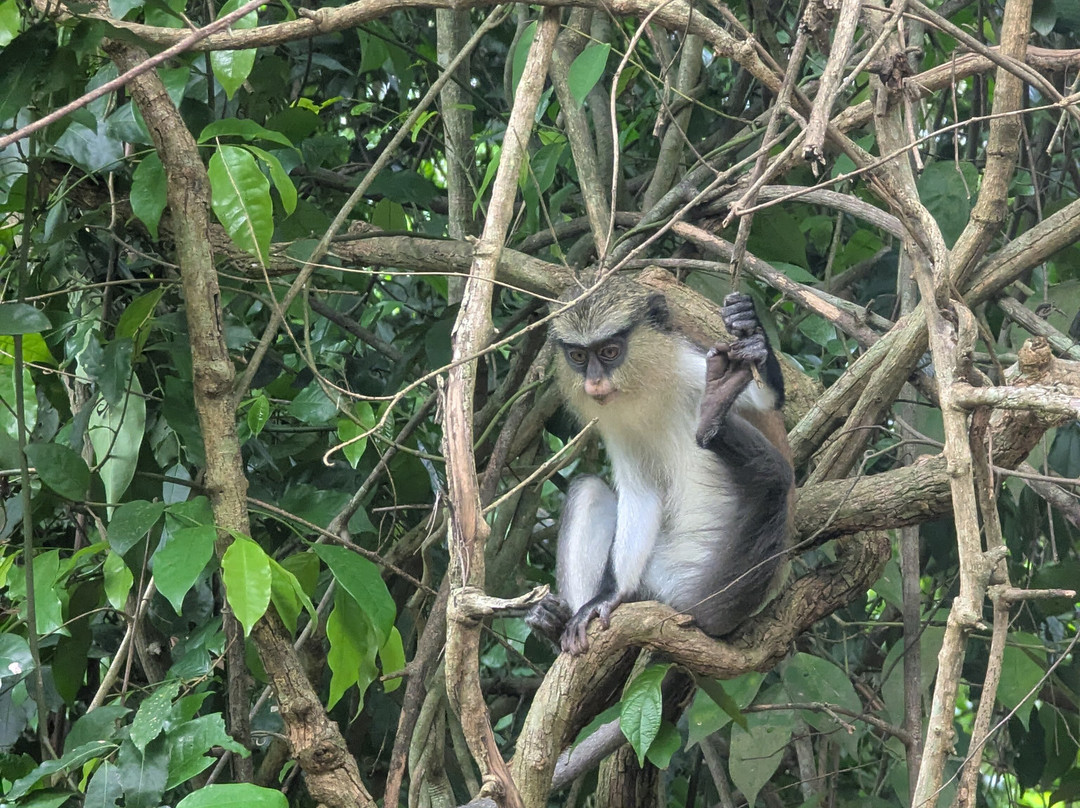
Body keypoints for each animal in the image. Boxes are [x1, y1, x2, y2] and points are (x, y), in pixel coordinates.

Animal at [527, 277, 795, 655]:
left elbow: (768, 401)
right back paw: (555, 624)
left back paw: (714, 414)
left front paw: (750, 328)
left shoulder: (686, 363)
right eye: (578, 356)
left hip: (712, 580)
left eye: (610, 352)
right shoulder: (612, 421)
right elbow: (640, 491)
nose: (594, 382)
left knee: (774, 478)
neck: (642, 389)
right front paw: (607, 596)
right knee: (587, 489)